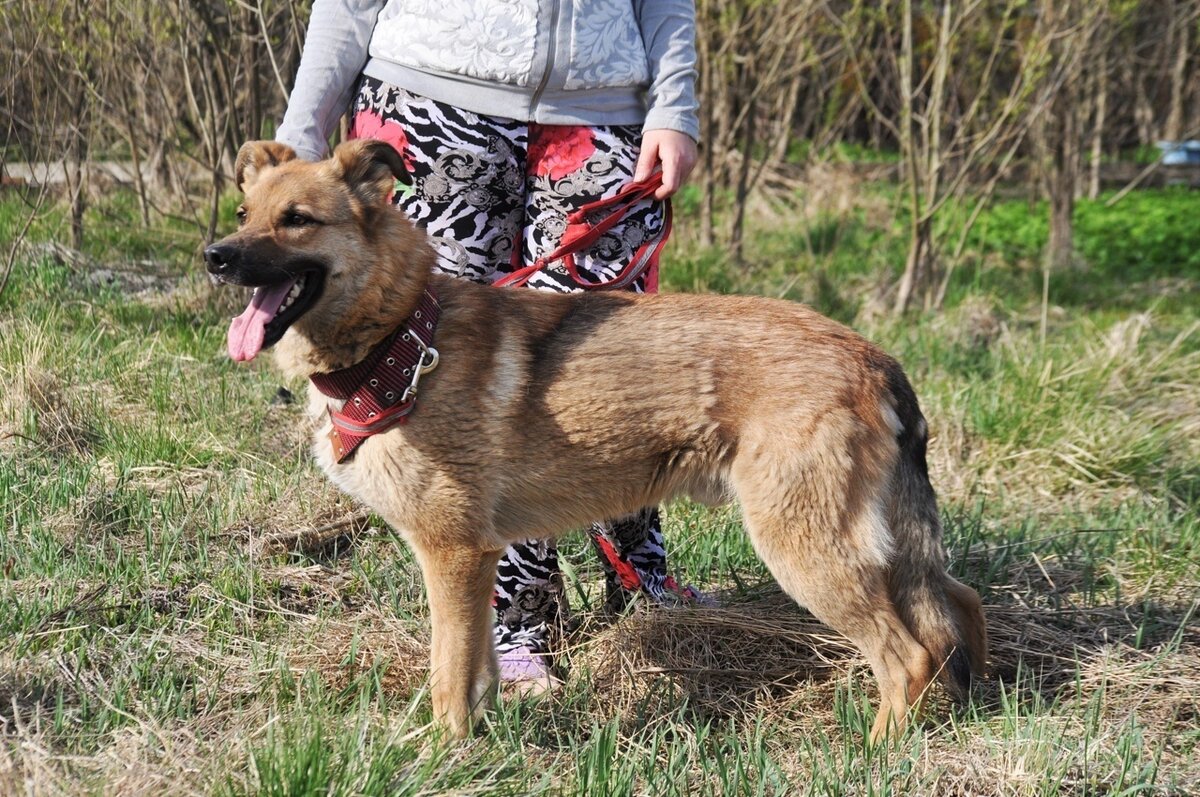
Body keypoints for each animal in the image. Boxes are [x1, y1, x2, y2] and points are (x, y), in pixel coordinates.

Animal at [206, 136, 988, 739]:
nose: (215, 255)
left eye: (297, 220)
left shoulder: (451, 555)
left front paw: (441, 755)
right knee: (958, 605)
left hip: (807, 549)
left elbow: (448, 678)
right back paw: (969, 704)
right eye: (245, 214)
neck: (401, 336)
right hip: (879, 545)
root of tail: (871, 356)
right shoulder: (480, 562)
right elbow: (478, 670)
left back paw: (877, 749)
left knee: (908, 655)